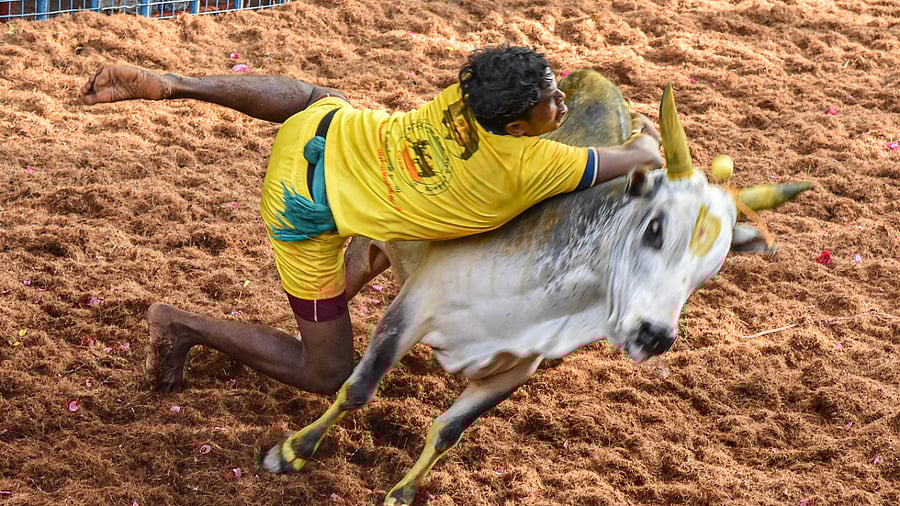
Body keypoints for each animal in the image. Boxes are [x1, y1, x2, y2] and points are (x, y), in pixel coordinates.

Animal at [260, 70, 811, 505]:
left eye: (712, 269)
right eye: (654, 228)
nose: (655, 335)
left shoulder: (517, 366)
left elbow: (449, 430)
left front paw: (401, 493)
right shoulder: (413, 307)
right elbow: (357, 388)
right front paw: (292, 452)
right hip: (368, 248)